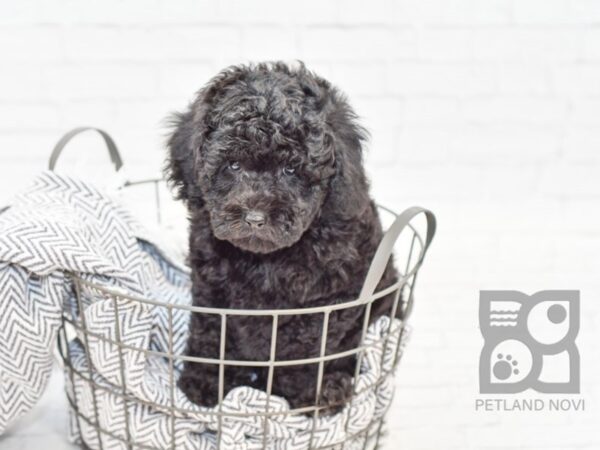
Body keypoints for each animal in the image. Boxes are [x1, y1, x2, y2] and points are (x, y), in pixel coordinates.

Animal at [165, 61, 398, 414]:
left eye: (290, 170)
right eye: (233, 165)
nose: (255, 218)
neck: (264, 261)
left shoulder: (326, 304)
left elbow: (302, 353)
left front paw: (300, 396)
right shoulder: (211, 290)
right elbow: (212, 334)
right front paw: (203, 382)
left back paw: (332, 389)